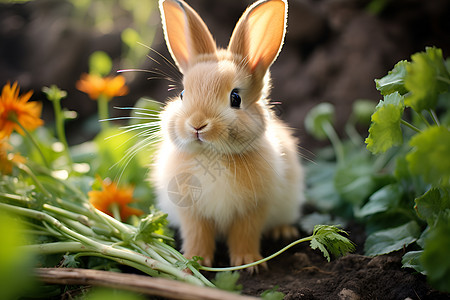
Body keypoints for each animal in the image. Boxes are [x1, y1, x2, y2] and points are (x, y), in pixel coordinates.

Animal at [152, 0, 306, 270]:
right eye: (182, 94)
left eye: (235, 98)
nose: (197, 125)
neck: (213, 155)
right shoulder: (191, 212)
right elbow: (197, 234)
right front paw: (194, 261)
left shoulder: (252, 210)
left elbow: (245, 234)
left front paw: (249, 263)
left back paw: (283, 232)